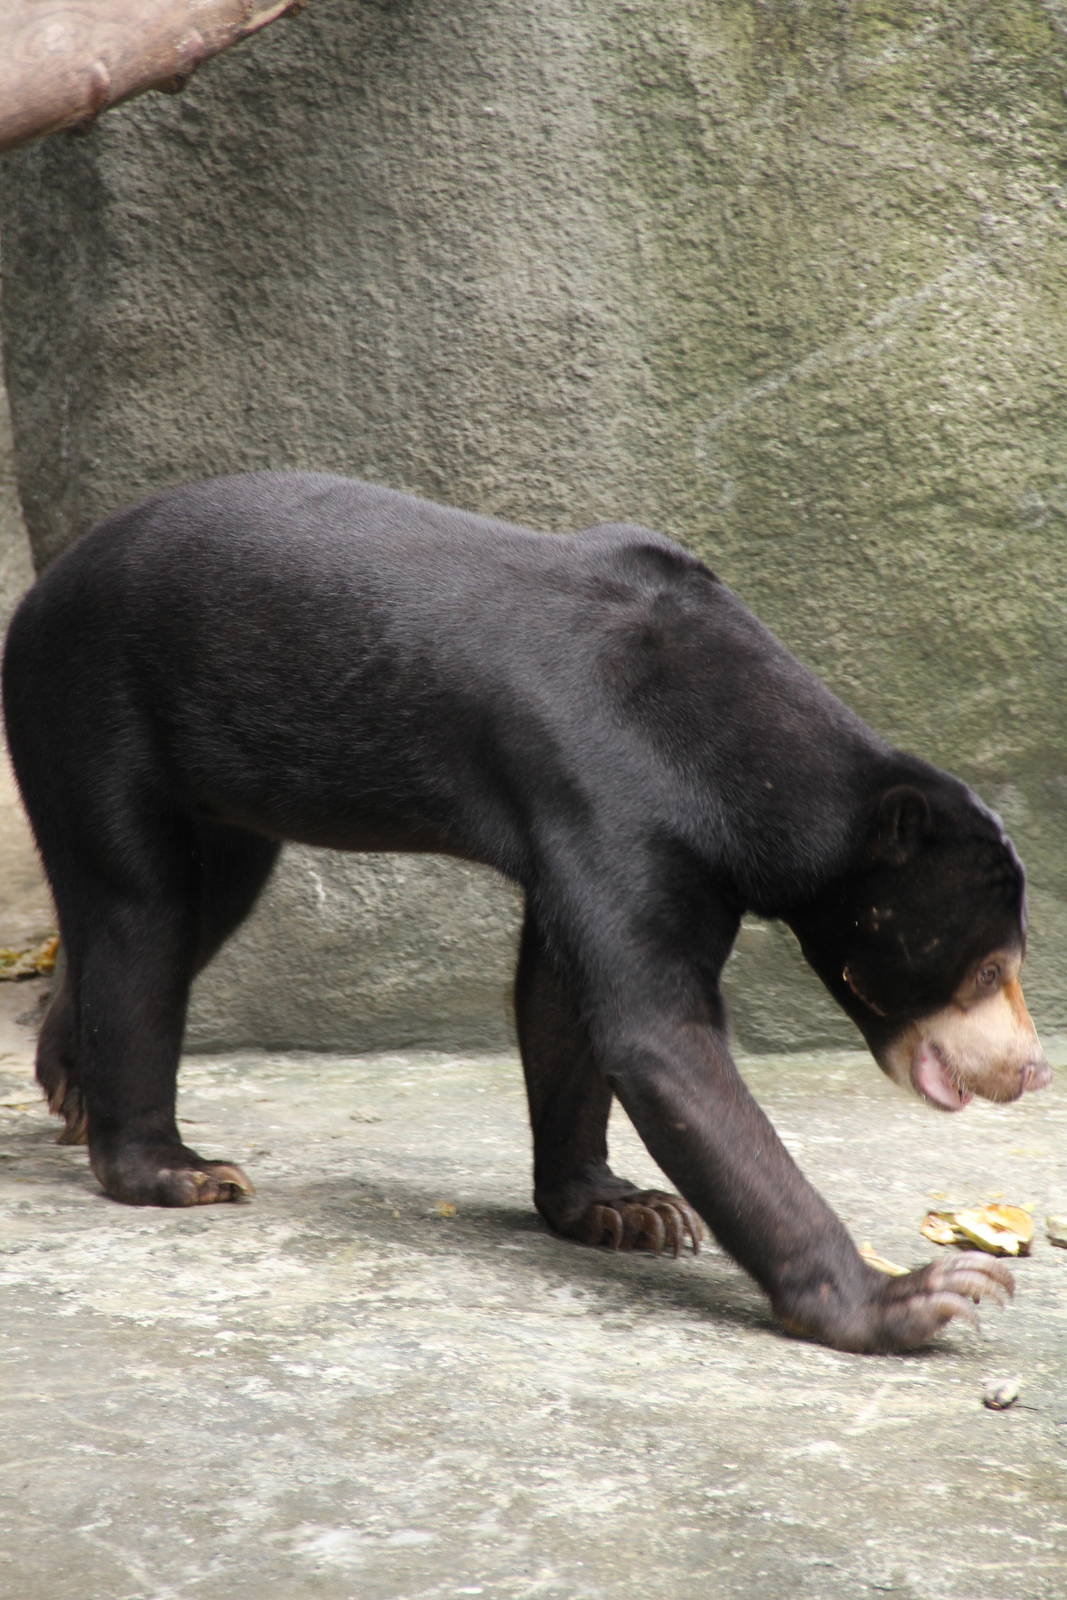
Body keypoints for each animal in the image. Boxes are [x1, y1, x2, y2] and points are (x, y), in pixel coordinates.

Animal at [2, 472, 1049, 1353]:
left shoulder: (598, 833)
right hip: (94, 709)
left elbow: (561, 1001)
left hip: (223, 779)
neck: (741, 758)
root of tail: (42, 589)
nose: (1030, 1068)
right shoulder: (611, 790)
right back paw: (169, 1168)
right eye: (986, 969)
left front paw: (622, 1209)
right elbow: (658, 1038)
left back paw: (70, 1082)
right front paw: (913, 1298)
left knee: (179, 914)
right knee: (142, 912)